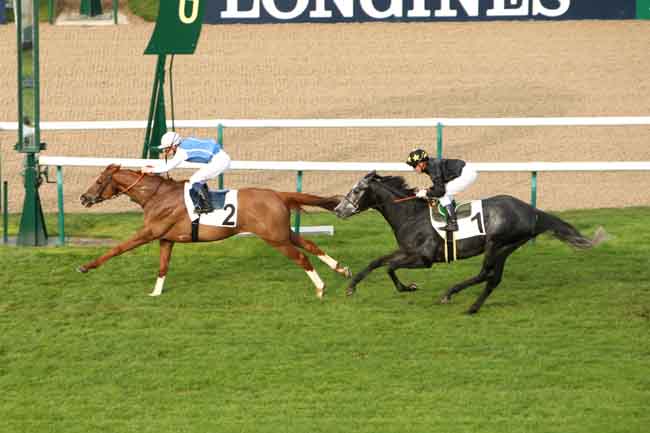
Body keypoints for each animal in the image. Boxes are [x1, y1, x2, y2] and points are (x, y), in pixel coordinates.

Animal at [78, 164, 346, 296]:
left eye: (99, 181)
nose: (83, 198)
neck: (157, 196)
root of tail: (278, 194)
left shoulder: (150, 232)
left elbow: (118, 248)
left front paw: (86, 266)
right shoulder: (166, 238)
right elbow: (163, 266)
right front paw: (155, 293)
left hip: (275, 238)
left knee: (301, 257)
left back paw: (320, 288)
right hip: (282, 232)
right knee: (310, 245)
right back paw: (341, 269)